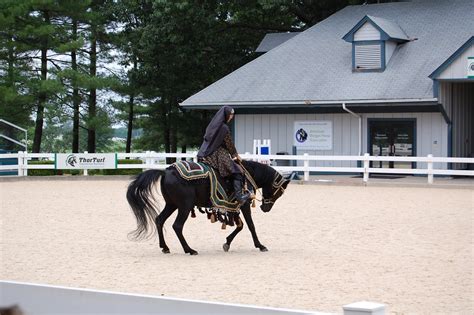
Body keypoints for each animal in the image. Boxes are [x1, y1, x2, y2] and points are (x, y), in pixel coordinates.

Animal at [126, 162, 288, 256]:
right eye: (279, 192)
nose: (266, 208)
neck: (247, 174)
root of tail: (166, 172)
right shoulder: (244, 204)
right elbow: (250, 225)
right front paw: (260, 245)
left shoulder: (235, 207)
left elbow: (240, 226)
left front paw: (227, 243)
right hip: (184, 206)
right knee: (177, 226)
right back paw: (189, 250)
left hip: (172, 205)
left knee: (159, 220)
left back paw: (165, 247)